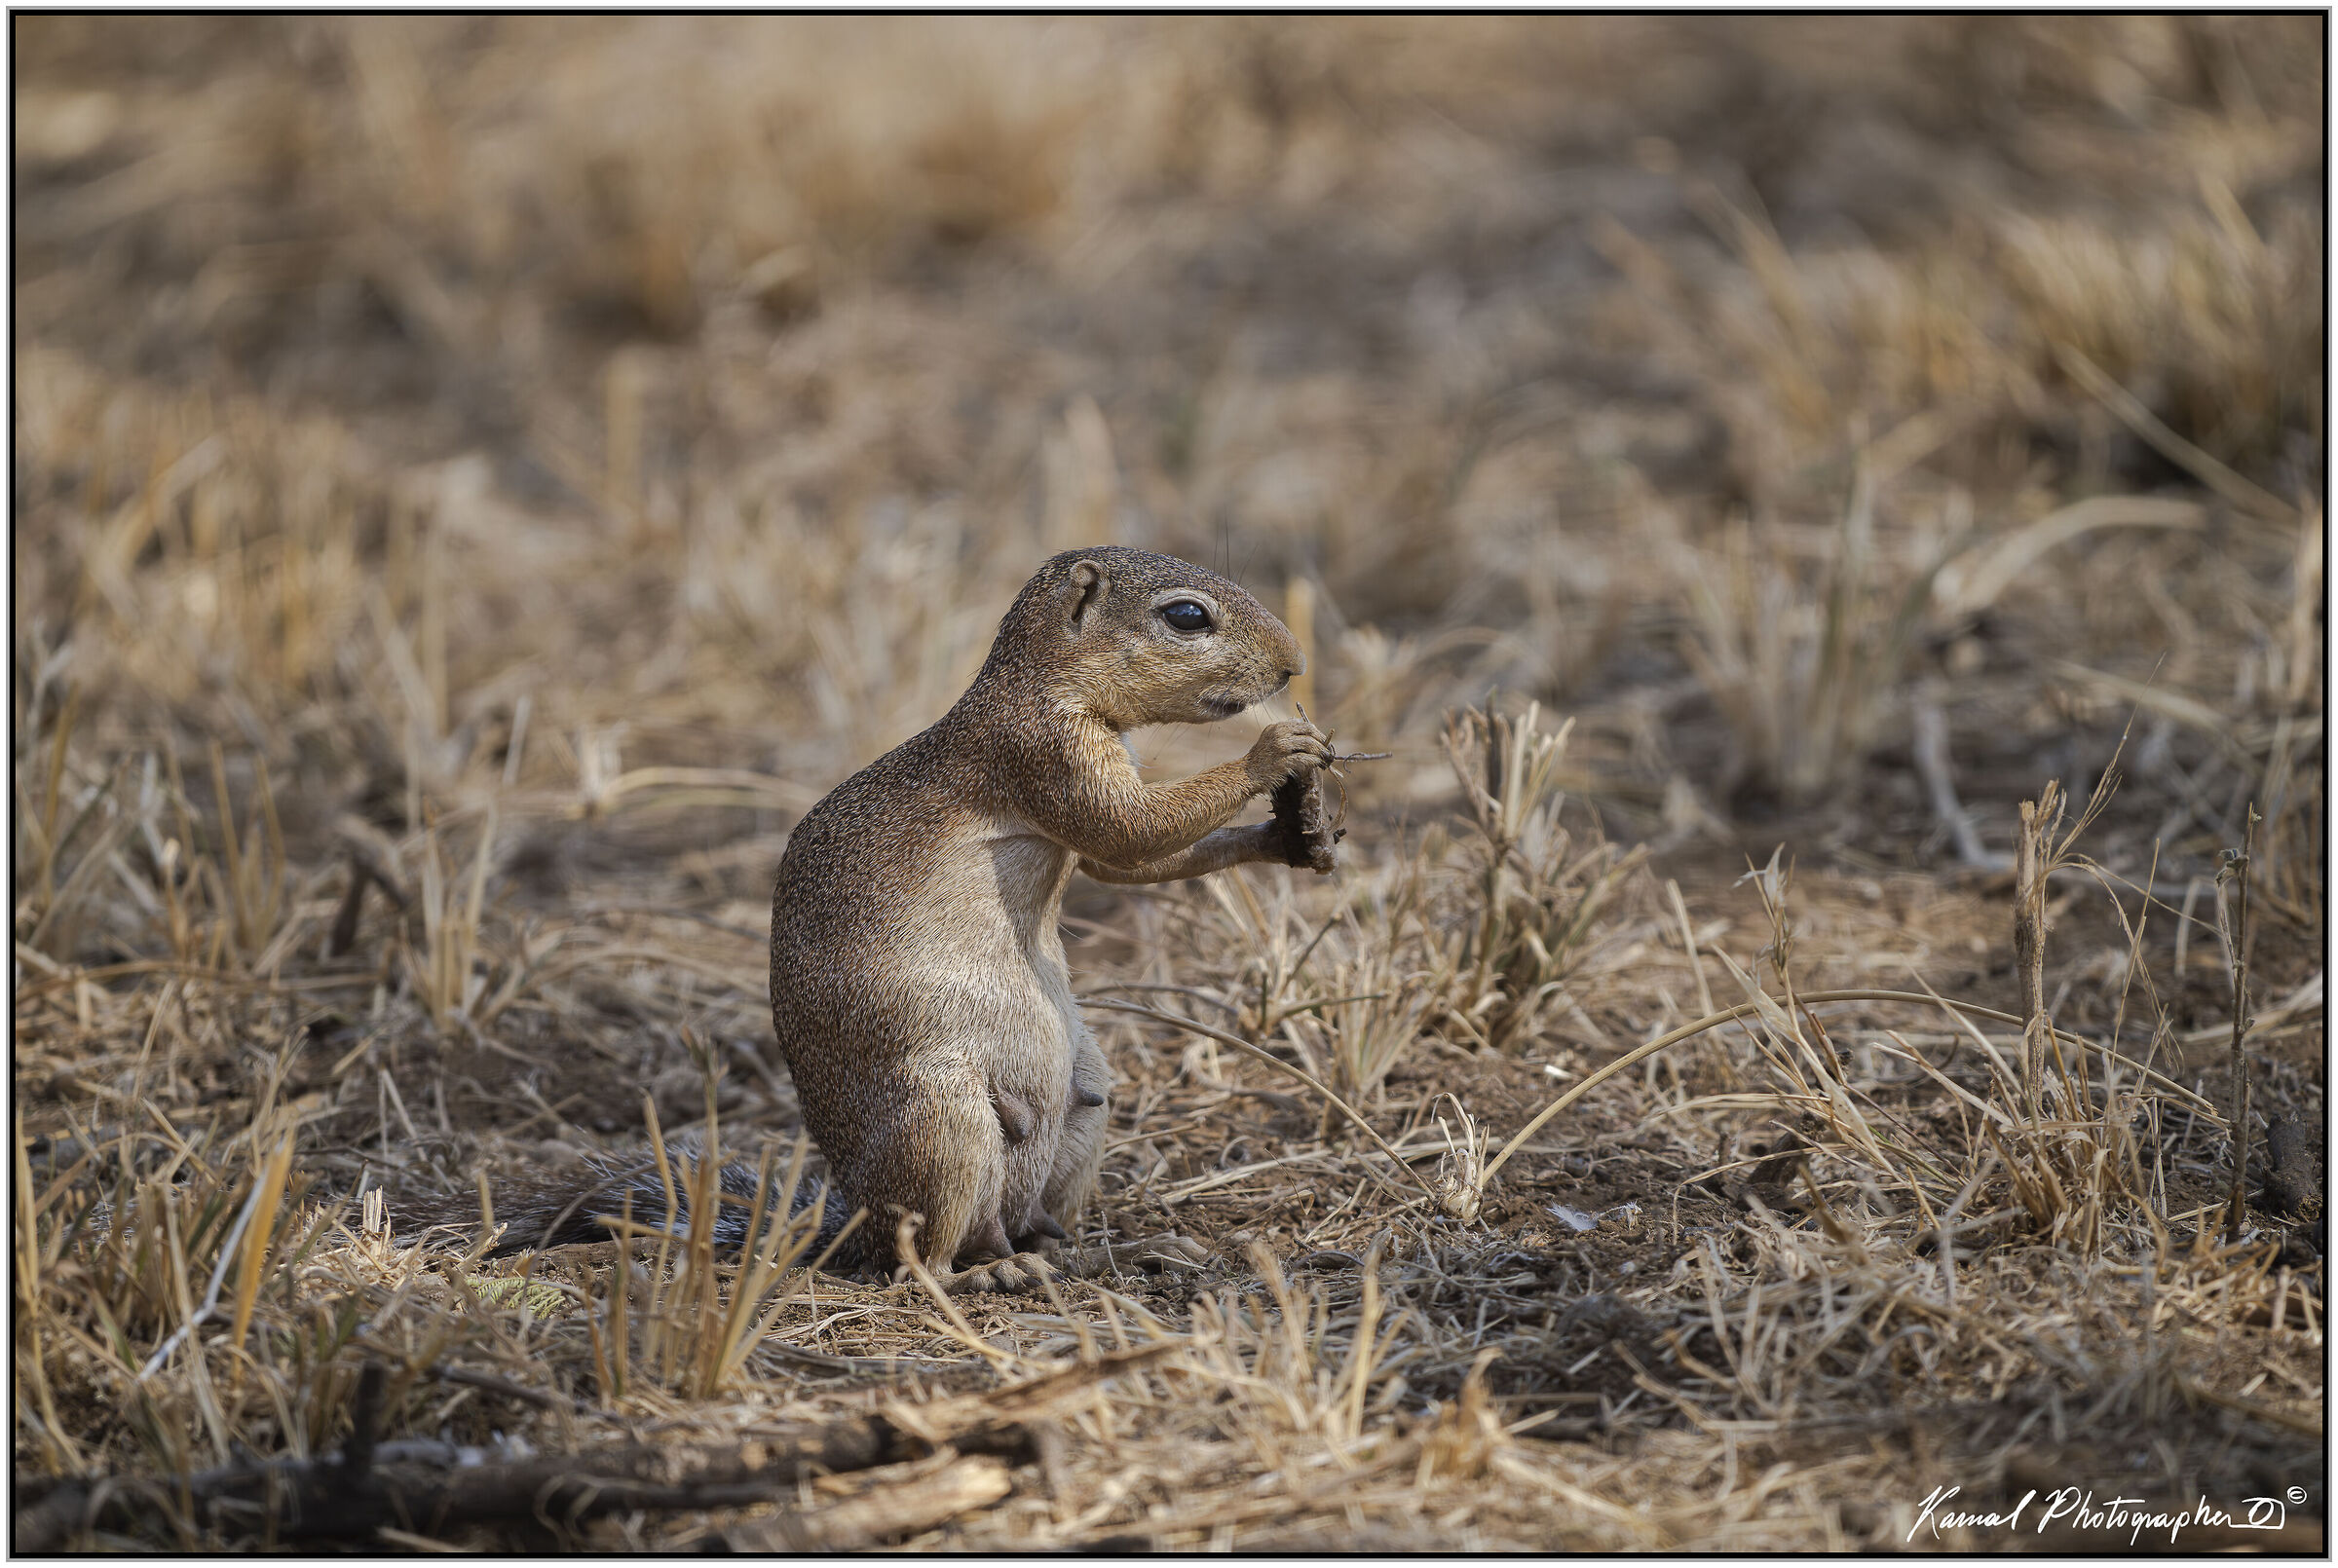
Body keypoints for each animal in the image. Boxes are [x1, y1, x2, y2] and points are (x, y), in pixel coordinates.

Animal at [417, 548, 1339, 1291]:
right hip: (941, 1122)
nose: (1296, 665)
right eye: (1187, 615)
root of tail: (850, 1223)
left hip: (1086, 1106)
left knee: (1023, 1228)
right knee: (919, 1260)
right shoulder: (1039, 752)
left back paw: (1105, 1252)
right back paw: (982, 1278)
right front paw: (1274, 753)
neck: (1045, 682)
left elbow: (1127, 861)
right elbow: (1128, 830)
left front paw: (1294, 837)